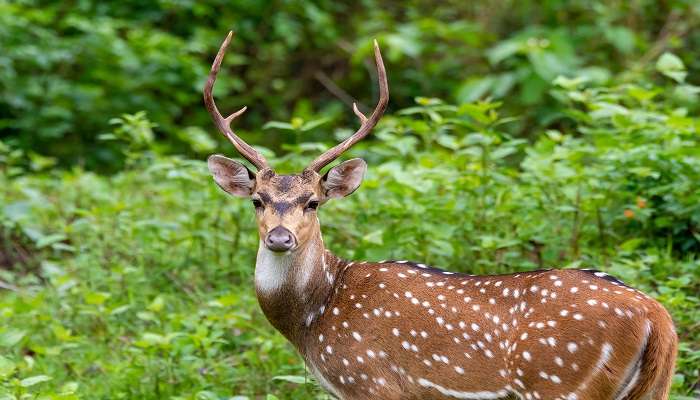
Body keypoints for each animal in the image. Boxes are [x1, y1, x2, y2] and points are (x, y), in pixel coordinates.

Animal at [204, 32, 680, 400]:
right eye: (257, 200)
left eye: (313, 202)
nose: (279, 238)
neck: (314, 316)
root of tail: (658, 318)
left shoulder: (372, 380)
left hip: (561, 380)